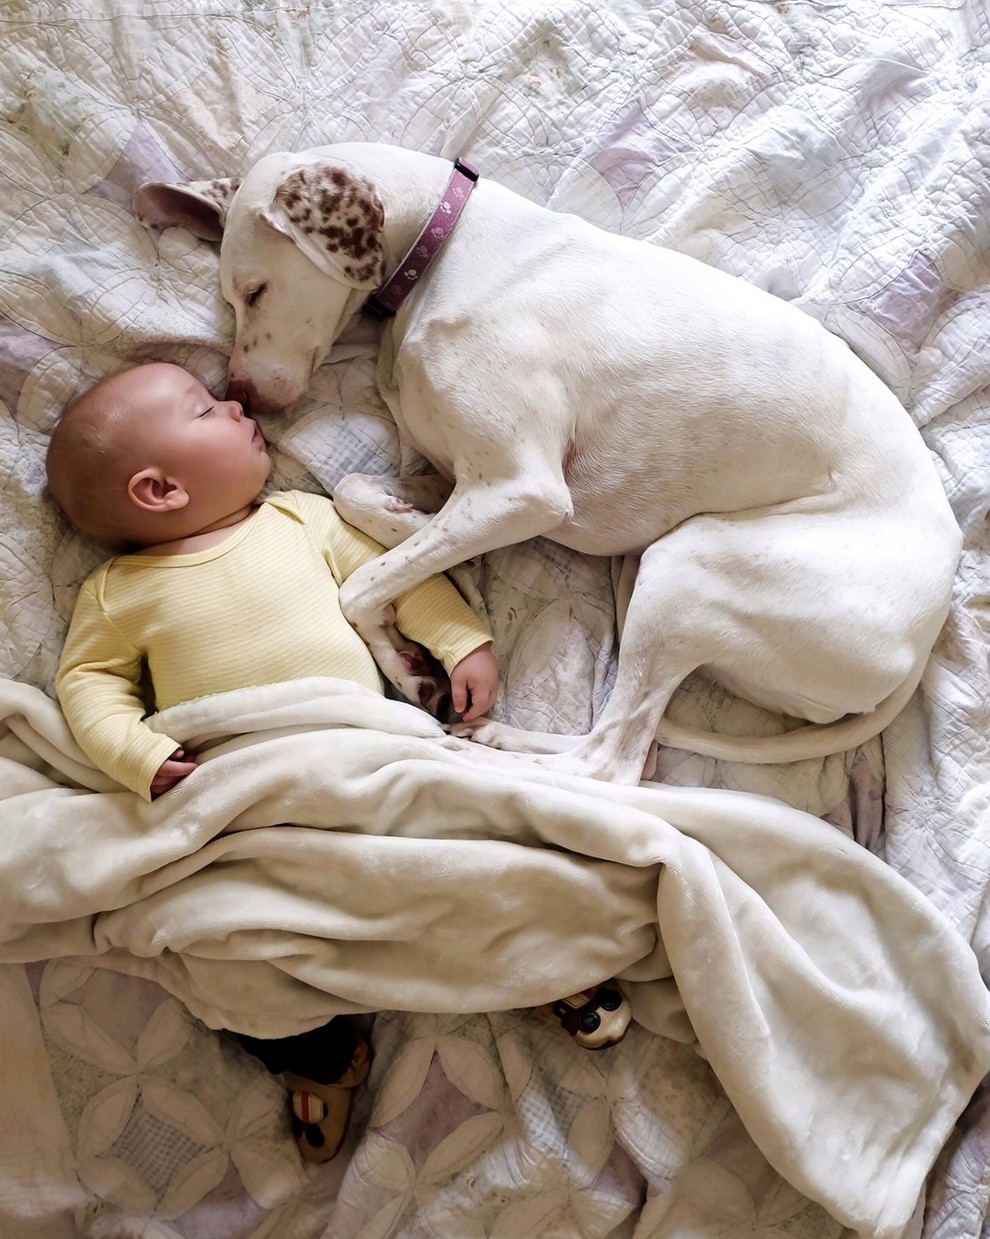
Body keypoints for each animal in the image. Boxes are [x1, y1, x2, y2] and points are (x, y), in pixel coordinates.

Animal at [131, 147, 961, 783]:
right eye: (231, 297)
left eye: (253, 289)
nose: (238, 397)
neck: (449, 247)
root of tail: (922, 640)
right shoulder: (457, 475)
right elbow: (361, 495)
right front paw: (417, 556)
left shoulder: (523, 491)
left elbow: (360, 586)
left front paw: (403, 650)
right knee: (624, 745)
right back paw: (496, 732)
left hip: (687, 568)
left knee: (614, 763)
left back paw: (473, 756)